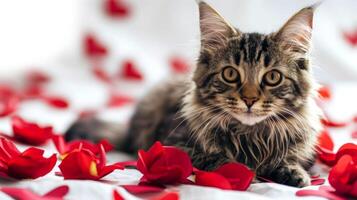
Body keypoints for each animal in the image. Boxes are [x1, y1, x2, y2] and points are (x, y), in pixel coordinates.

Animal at [65, 1, 322, 188]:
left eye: (272, 77)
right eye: (230, 74)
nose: (249, 100)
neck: (250, 135)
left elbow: (290, 159)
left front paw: (293, 172)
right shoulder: (171, 146)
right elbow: (216, 159)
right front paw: (248, 171)